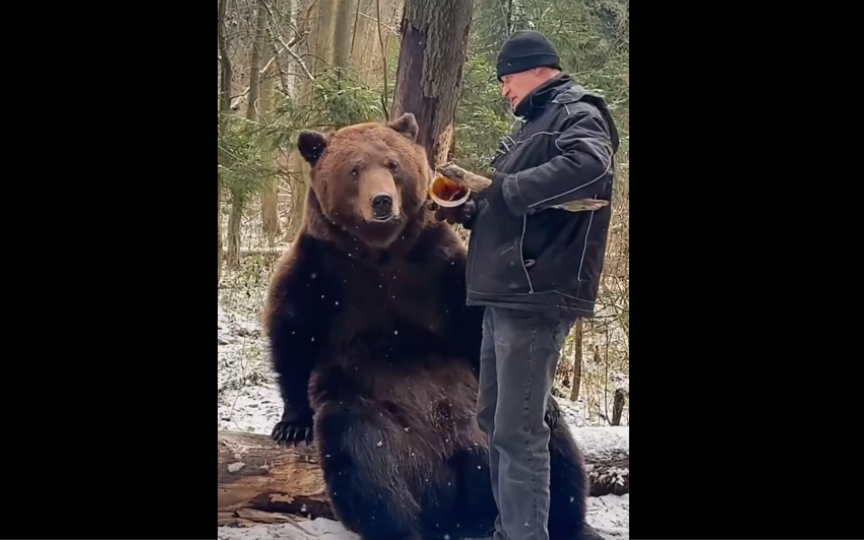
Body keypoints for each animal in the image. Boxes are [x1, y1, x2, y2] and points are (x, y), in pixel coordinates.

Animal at [262, 114, 592, 540]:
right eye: (354, 169)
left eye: (392, 164)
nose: (382, 201)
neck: (380, 254)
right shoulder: (322, 273)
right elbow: (292, 335)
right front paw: (291, 424)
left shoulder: (436, 265)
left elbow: (475, 324)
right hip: (376, 419)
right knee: (367, 465)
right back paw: (402, 524)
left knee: (555, 452)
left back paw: (569, 521)